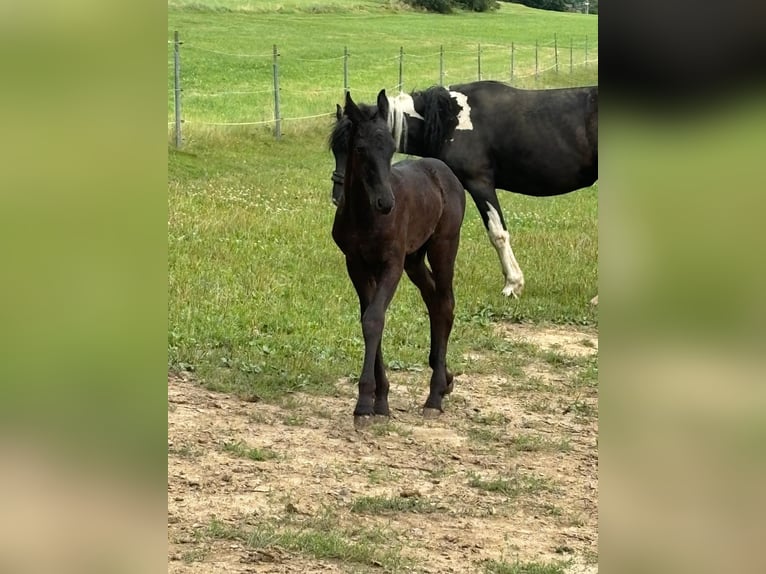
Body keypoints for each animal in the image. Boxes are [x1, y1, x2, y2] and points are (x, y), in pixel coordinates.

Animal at [330, 83, 600, 300]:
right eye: (335, 148)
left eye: (357, 148)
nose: (338, 196)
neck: (450, 120)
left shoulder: (480, 184)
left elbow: (498, 234)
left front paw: (513, 284)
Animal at [332, 89, 468, 424]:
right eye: (360, 148)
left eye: (392, 147)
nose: (386, 203)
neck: (364, 216)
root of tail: (443, 170)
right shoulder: (356, 265)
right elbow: (369, 319)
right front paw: (380, 402)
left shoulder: (391, 264)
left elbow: (374, 319)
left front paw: (364, 404)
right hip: (415, 259)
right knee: (433, 300)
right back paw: (445, 379)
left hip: (443, 246)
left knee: (445, 302)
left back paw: (435, 396)